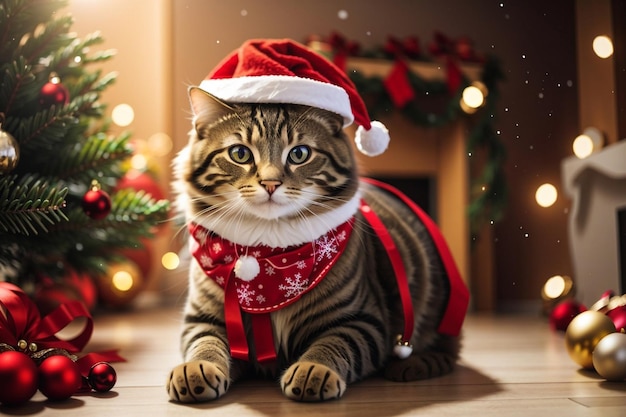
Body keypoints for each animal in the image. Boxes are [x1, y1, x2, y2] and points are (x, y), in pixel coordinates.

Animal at [166, 85, 468, 404]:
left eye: (299, 154)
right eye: (240, 153)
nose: (271, 184)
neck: (268, 262)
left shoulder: (362, 320)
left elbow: (333, 345)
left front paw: (313, 369)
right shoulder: (203, 318)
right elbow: (204, 344)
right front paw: (196, 368)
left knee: (446, 350)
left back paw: (414, 364)